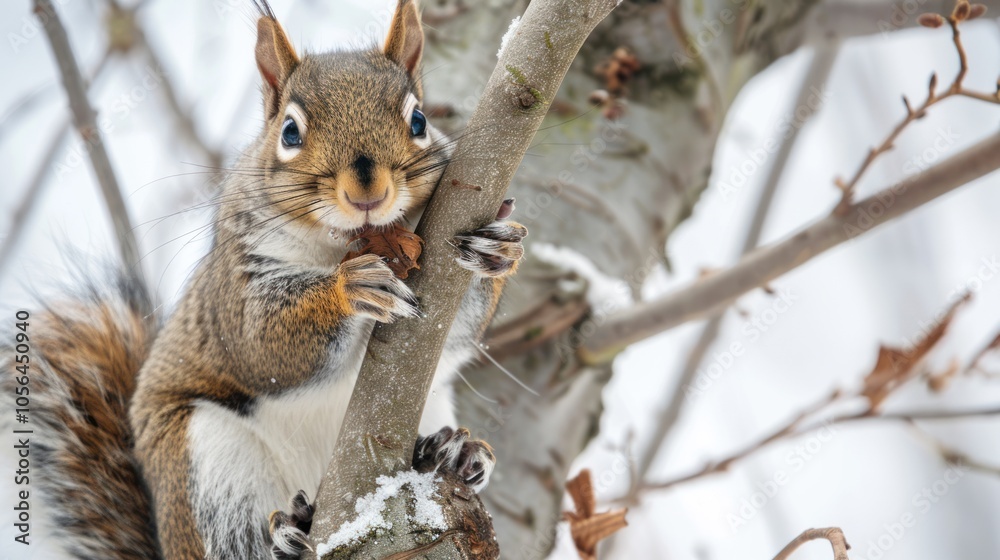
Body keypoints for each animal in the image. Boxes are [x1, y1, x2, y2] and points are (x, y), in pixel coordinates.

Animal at [2, 1, 526, 558]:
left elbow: (460, 332)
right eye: (289, 132)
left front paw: (498, 246)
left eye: (420, 121)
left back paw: (452, 453)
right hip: (210, 464)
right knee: (236, 537)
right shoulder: (237, 280)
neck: (344, 244)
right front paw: (349, 289)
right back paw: (287, 535)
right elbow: (260, 344)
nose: (367, 191)